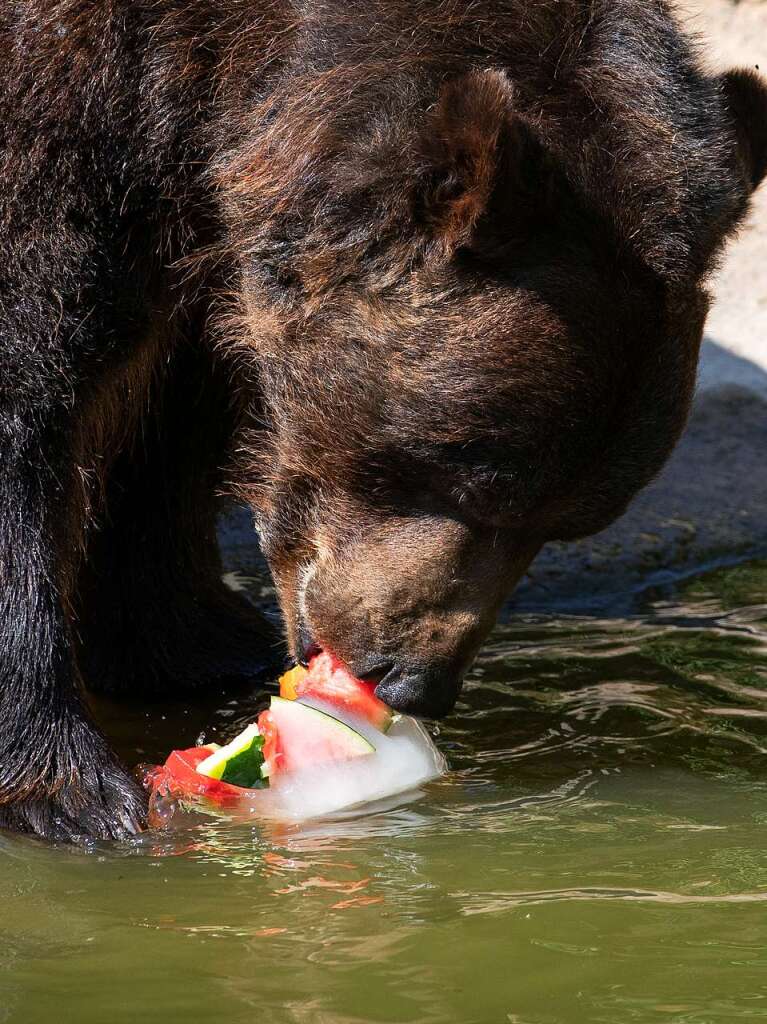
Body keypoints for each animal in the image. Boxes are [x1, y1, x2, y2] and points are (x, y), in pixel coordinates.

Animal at [1, 0, 765, 839]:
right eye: (476, 482)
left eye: (567, 523)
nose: (412, 682)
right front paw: (71, 790)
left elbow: (168, 410)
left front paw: (189, 641)